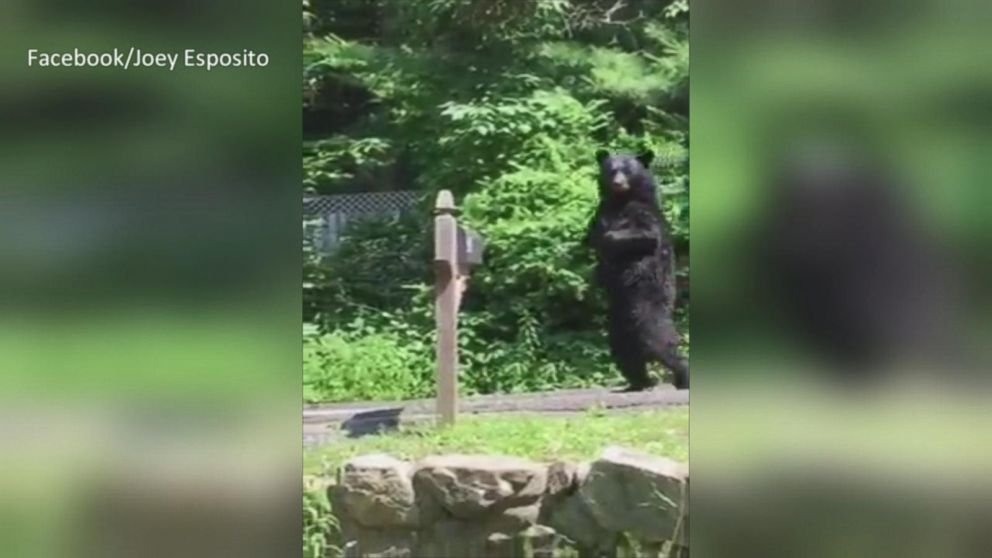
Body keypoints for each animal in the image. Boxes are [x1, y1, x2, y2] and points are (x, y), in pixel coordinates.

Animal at [580, 151, 688, 392]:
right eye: (612, 170)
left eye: (628, 170)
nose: (618, 183)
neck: (621, 200)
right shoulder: (601, 212)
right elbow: (592, 237)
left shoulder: (641, 213)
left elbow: (644, 234)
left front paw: (610, 239)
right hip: (618, 327)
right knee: (625, 355)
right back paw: (639, 383)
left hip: (647, 311)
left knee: (662, 343)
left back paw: (682, 377)